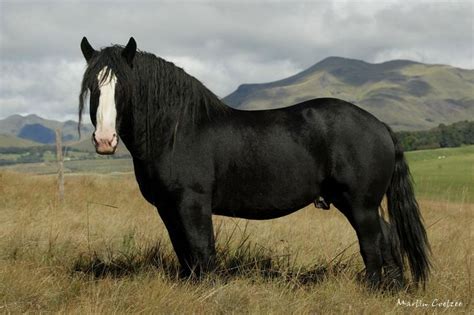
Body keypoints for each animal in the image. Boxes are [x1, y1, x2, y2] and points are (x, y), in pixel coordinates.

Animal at [79, 37, 432, 288]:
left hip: (360, 203)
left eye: (124, 86)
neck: (177, 131)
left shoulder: (193, 203)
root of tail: (381, 126)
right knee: (388, 238)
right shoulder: (168, 207)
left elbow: (202, 250)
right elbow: (184, 253)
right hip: (352, 202)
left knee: (372, 243)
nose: (105, 140)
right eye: (92, 87)